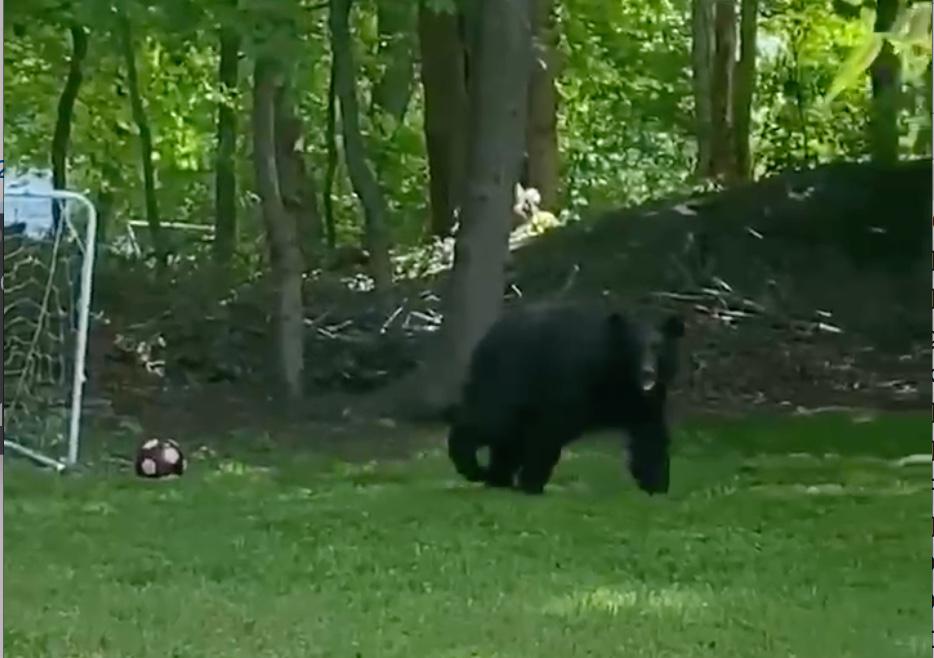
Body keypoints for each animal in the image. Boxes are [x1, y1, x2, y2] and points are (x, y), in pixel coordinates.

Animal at [448, 302, 688, 492]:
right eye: (633, 347)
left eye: (657, 347)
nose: (647, 372)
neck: (618, 376)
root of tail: (488, 336)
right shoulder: (572, 382)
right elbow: (549, 430)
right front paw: (532, 482)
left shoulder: (643, 399)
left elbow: (649, 435)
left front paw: (656, 485)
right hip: (509, 376)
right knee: (492, 420)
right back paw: (473, 466)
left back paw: (498, 477)